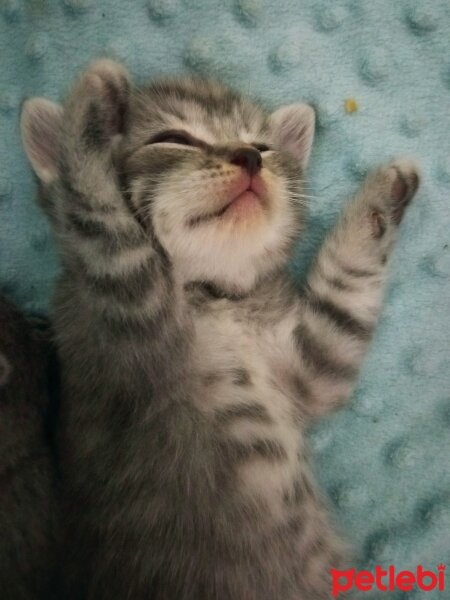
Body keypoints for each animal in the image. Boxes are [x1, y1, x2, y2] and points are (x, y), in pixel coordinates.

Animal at [19, 61, 420, 600]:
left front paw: (381, 196)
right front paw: (90, 110)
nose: (248, 157)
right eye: (172, 139)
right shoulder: (122, 319)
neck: (211, 296)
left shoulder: (315, 367)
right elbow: (101, 218)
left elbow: (344, 293)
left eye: (264, 146)